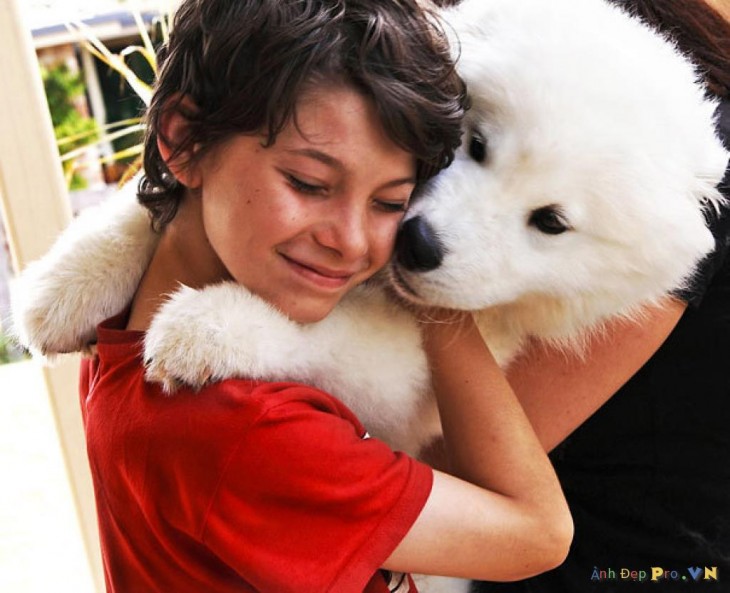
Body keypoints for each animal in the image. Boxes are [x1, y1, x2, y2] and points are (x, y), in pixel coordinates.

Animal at [8, 1, 724, 588]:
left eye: (550, 221)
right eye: (477, 145)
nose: (419, 246)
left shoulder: (424, 378)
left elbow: (330, 331)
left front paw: (203, 327)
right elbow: (139, 214)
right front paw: (61, 285)